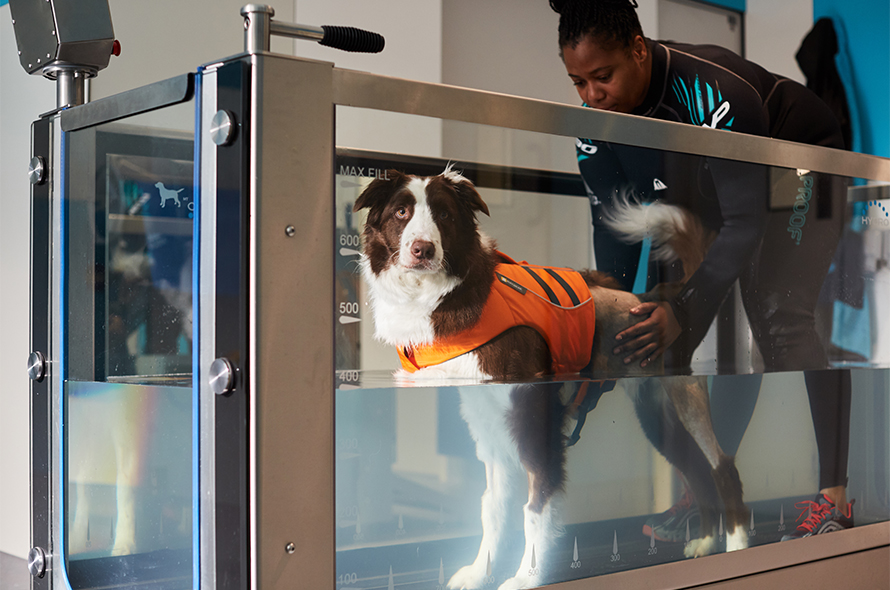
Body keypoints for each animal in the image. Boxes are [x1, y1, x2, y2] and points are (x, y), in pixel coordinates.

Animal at [354, 166, 748, 590]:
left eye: (444, 214)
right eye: (401, 212)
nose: (422, 250)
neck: (450, 295)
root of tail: (653, 298)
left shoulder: (535, 419)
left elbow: (534, 510)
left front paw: (526, 578)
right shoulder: (487, 425)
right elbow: (492, 510)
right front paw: (479, 573)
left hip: (683, 394)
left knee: (721, 466)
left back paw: (738, 546)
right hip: (654, 413)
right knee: (697, 469)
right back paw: (707, 542)